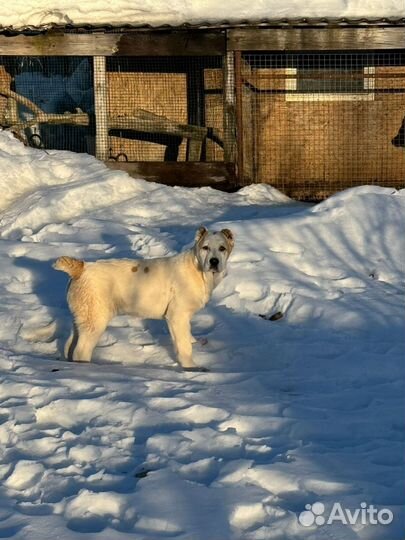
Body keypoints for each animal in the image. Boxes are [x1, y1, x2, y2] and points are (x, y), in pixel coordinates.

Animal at [52, 225, 234, 372]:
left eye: (222, 248)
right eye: (205, 248)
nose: (214, 261)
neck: (198, 270)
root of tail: (81, 268)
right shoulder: (177, 315)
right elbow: (184, 345)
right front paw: (191, 368)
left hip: (82, 316)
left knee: (69, 344)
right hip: (95, 319)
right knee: (81, 350)